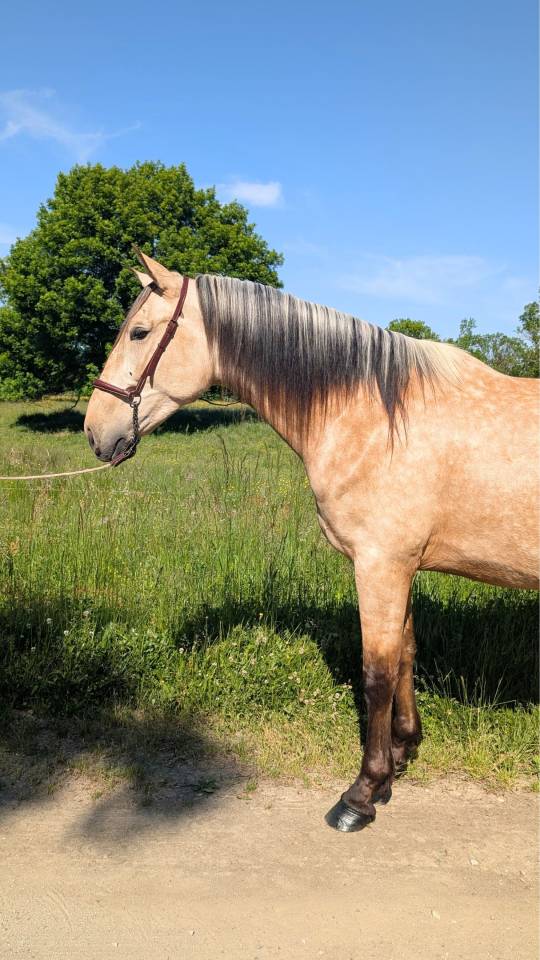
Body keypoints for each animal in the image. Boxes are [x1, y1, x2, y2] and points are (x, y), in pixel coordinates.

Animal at [85, 250, 539, 832]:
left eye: (139, 332)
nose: (95, 432)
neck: (376, 416)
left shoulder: (379, 565)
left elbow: (376, 673)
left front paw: (362, 792)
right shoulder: (400, 567)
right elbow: (406, 655)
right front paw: (401, 755)